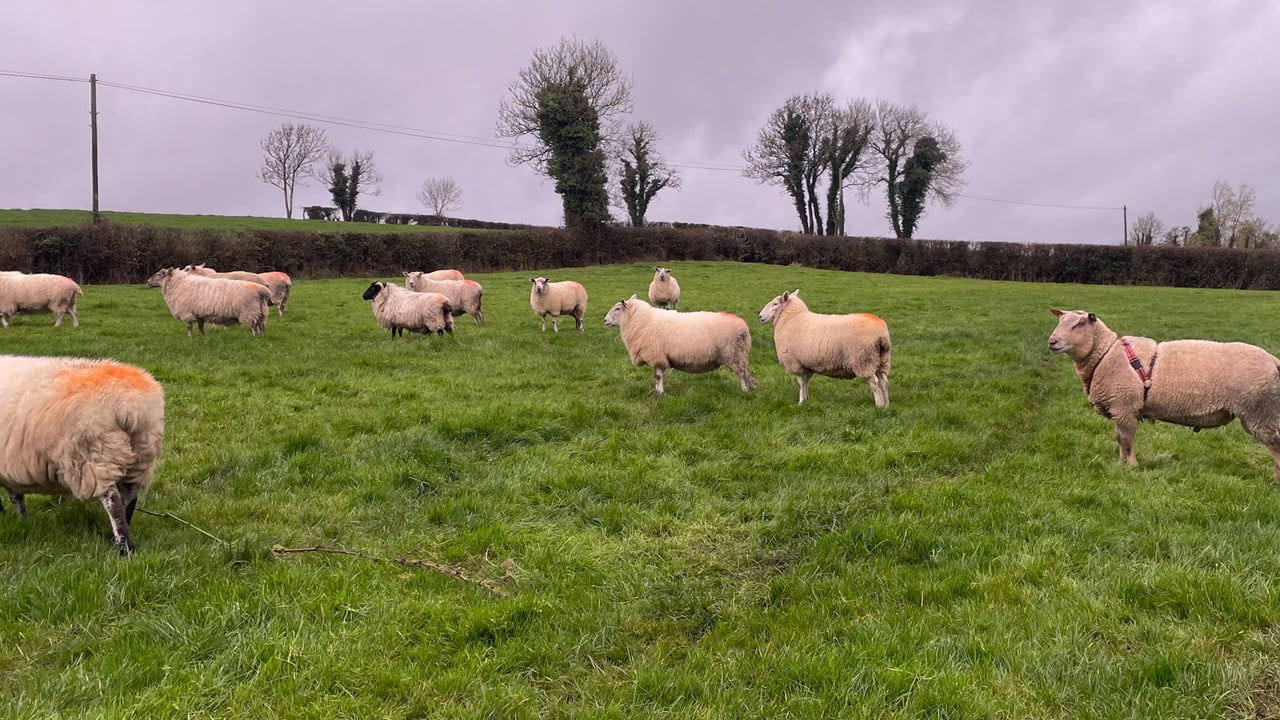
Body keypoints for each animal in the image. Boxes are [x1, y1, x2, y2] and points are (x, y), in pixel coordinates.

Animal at [0, 355, 165, 555]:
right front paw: (22, 520)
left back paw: (124, 547)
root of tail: (131, 408)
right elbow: (16, 495)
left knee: (113, 502)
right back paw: (116, 537)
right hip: (141, 454)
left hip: (93, 456)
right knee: (130, 495)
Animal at [603, 294, 757, 395]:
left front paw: (660, 393)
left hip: (732, 354)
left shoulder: (657, 356)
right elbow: (657, 376)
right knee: (744, 373)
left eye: (617, 309)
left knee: (741, 374)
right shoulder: (658, 356)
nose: (605, 320)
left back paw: (744, 391)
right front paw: (658, 391)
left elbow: (658, 376)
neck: (642, 321)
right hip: (739, 355)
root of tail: (743, 327)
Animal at [758, 290, 891, 406]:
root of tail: (881, 333)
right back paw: (886, 404)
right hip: (882, 360)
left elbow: (800, 383)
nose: (760, 316)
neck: (791, 319)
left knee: (874, 383)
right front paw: (806, 399)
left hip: (863, 360)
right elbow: (805, 382)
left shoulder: (796, 362)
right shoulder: (806, 364)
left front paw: (800, 402)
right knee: (883, 381)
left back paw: (879, 405)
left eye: (775, 304)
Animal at [1048, 308, 1280, 482]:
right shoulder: (1118, 408)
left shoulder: (1125, 408)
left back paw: (1275, 480)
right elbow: (1119, 439)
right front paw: (1121, 464)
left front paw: (1132, 466)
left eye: (1078, 325)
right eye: (1060, 321)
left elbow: (1128, 441)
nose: (1052, 341)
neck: (1105, 355)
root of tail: (1274, 360)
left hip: (1260, 412)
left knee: (1275, 444)